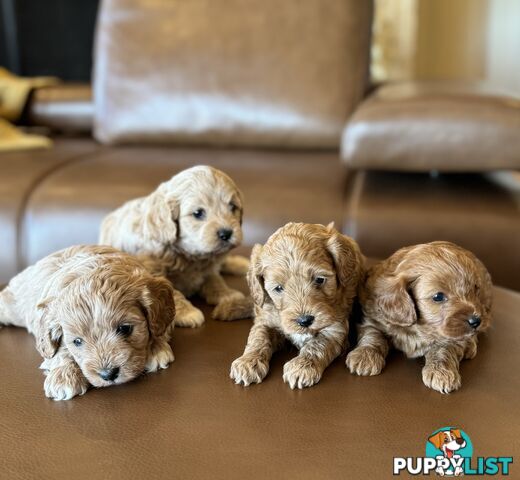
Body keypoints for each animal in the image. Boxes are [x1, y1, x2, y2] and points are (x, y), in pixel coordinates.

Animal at [0, 246, 177, 400]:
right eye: (77, 341)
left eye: (125, 329)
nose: (108, 374)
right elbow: (59, 351)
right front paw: (64, 377)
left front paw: (155, 348)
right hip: (14, 307)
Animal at [99, 165, 252, 326]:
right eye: (198, 213)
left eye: (232, 207)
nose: (226, 233)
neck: (189, 254)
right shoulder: (153, 271)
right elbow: (171, 291)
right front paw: (187, 313)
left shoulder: (208, 266)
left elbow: (214, 277)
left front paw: (226, 293)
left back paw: (239, 263)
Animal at [232, 223, 366, 388]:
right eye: (278, 288)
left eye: (319, 279)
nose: (305, 321)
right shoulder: (265, 319)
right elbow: (258, 337)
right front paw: (248, 362)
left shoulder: (335, 328)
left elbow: (317, 345)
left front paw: (301, 366)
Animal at [346, 240, 492, 394]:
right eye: (438, 297)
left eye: (475, 289)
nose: (476, 321)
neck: (419, 327)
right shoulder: (372, 318)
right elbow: (373, 335)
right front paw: (364, 356)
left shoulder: (453, 338)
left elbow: (443, 349)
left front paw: (441, 372)